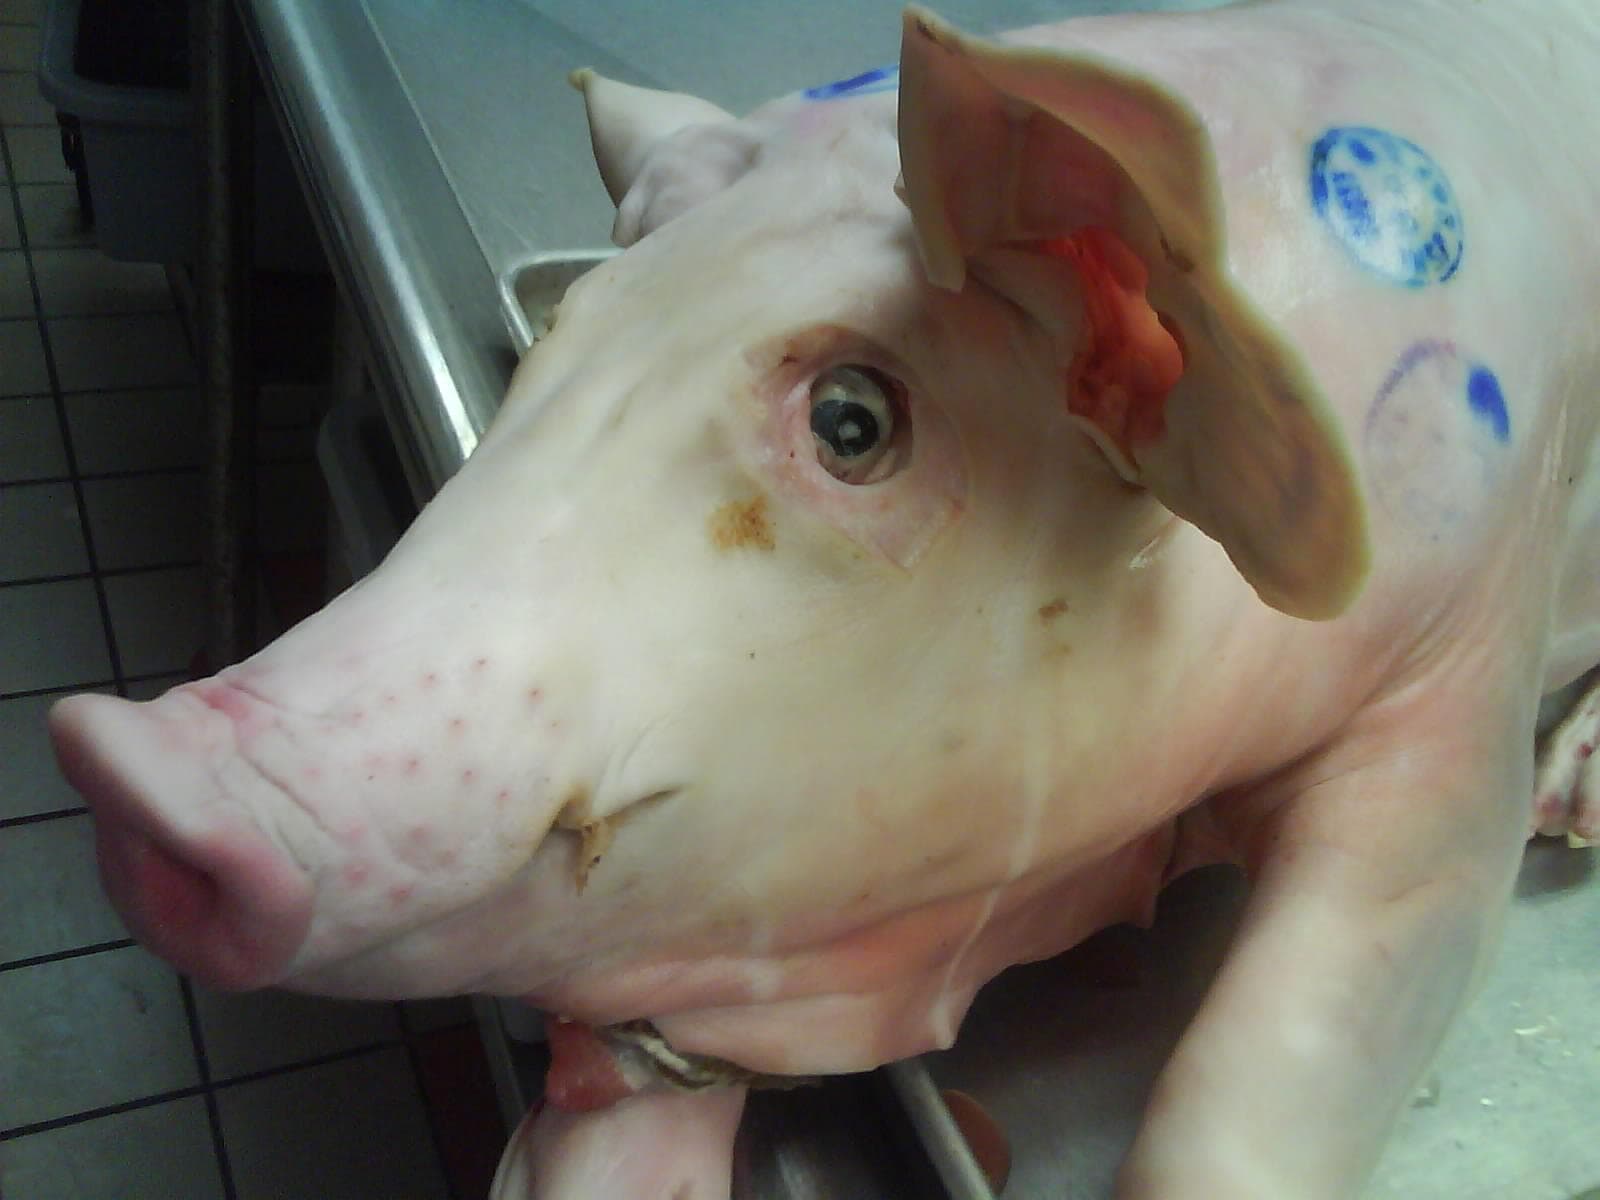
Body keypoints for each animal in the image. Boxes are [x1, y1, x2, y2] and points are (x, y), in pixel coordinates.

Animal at [46, 0, 1600, 1196]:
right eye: (560, 336)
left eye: (854, 423)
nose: (124, 762)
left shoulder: (1464, 665)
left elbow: (1273, 1055)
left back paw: (1565, 809)